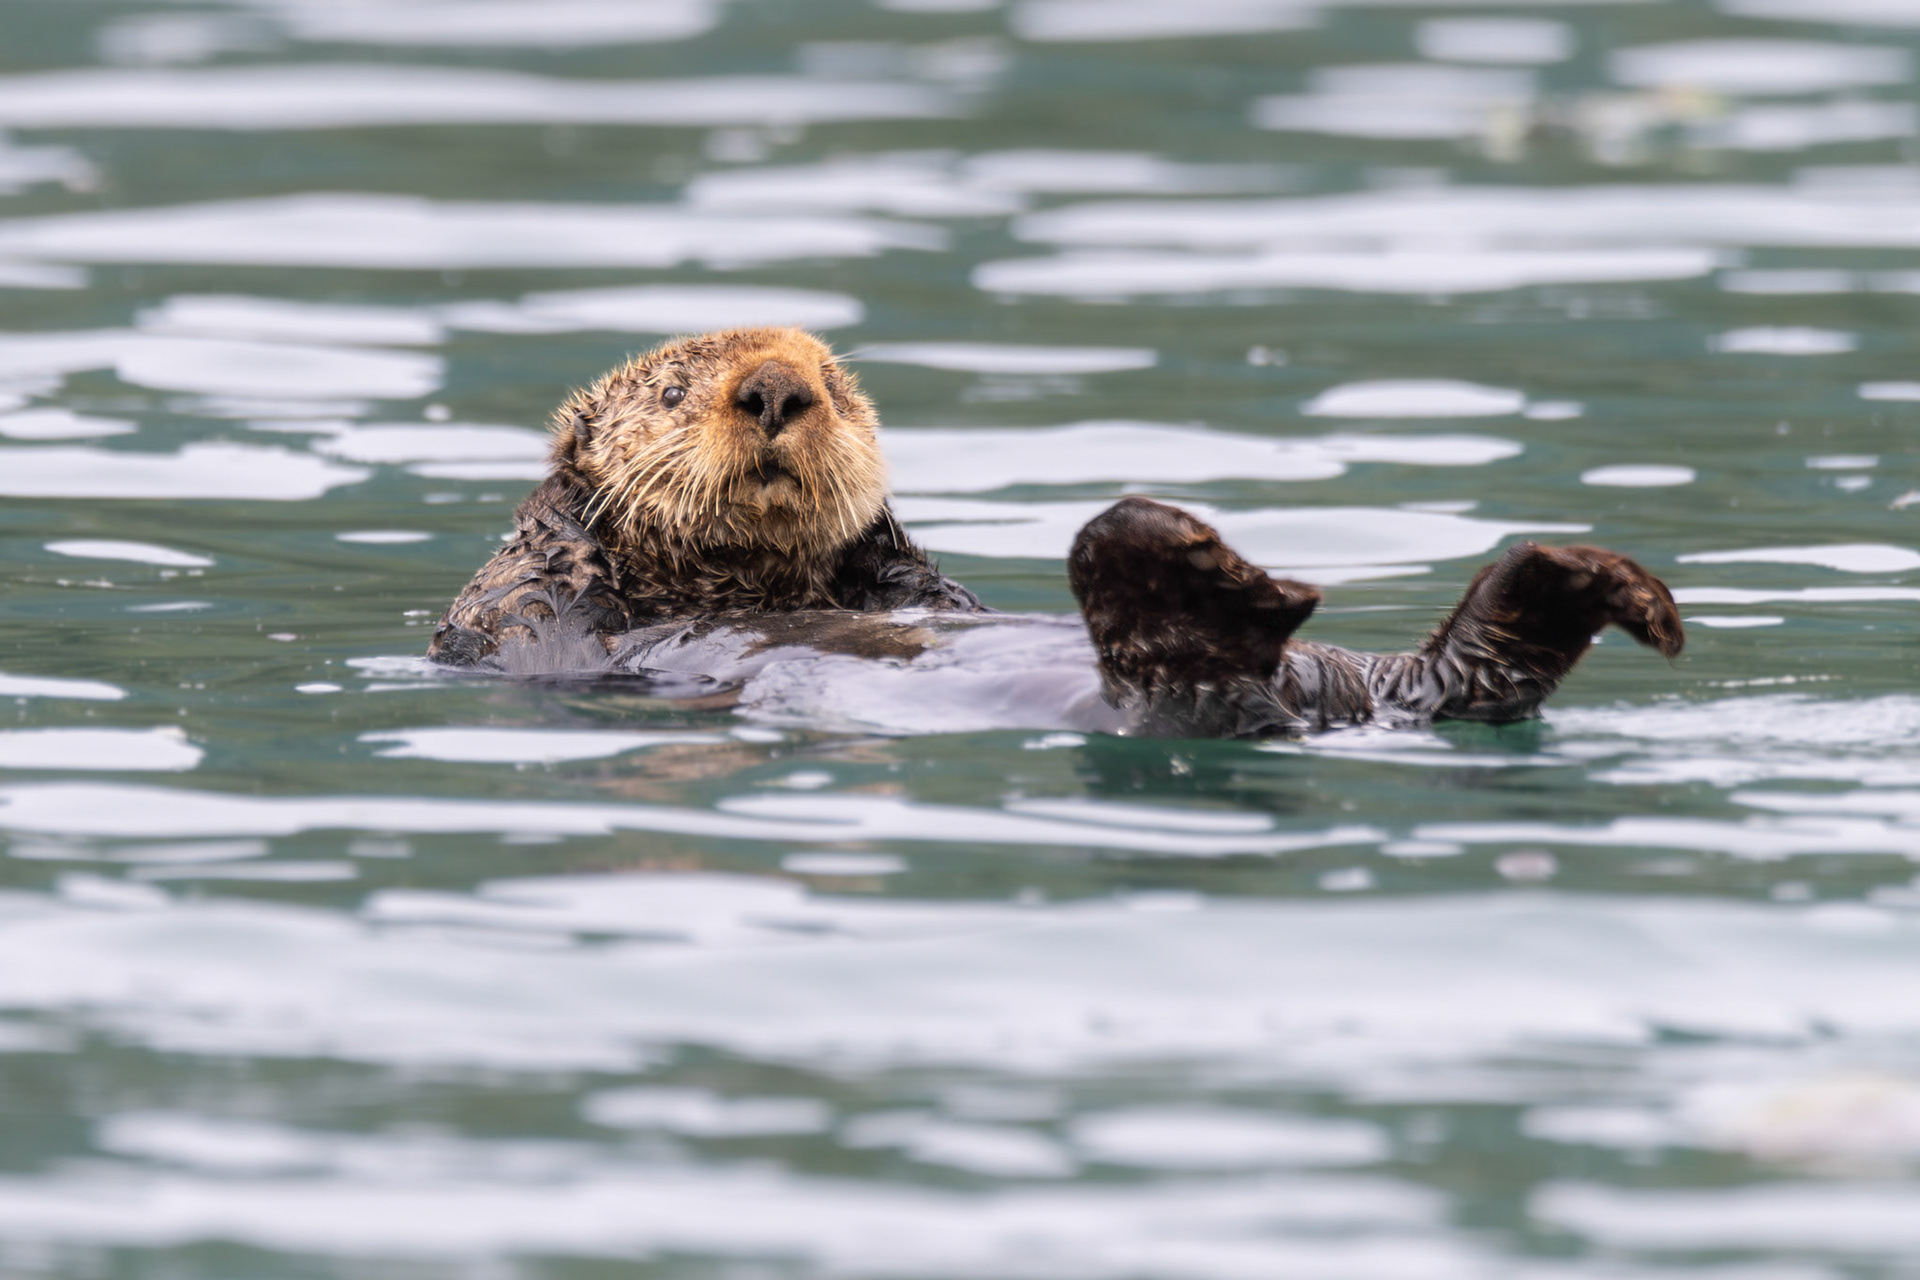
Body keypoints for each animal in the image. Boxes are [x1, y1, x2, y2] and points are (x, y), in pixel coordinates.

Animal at [430, 327, 1683, 738]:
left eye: (837, 386)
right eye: (675, 387)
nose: (779, 388)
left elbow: (924, 587)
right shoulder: (516, 618)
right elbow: (547, 586)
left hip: (1353, 674)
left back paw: (1587, 581)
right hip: (1212, 686)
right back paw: (1196, 573)